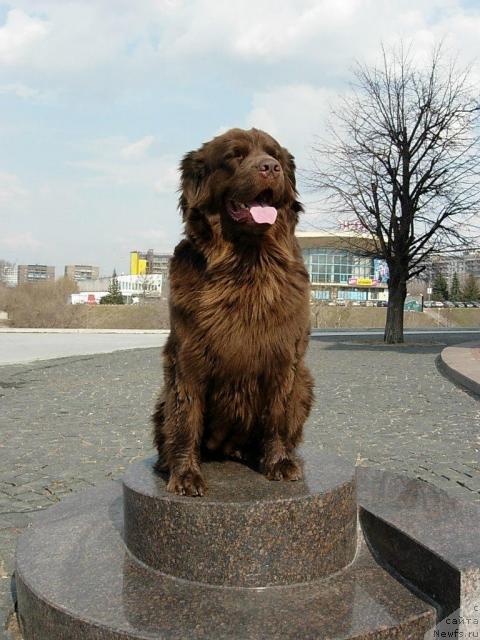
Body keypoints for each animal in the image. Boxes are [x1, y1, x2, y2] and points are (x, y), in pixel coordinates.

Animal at [152, 126, 314, 496]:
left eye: (275, 155)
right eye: (234, 156)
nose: (270, 168)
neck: (247, 265)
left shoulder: (284, 358)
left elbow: (277, 416)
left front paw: (279, 463)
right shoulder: (187, 357)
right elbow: (186, 419)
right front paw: (186, 475)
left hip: (306, 383)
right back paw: (166, 463)